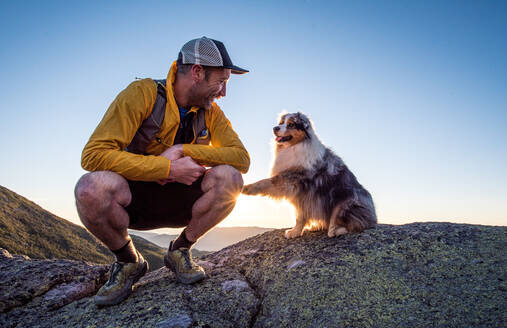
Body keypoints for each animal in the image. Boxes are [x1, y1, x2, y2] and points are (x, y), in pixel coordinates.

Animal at [242, 112, 378, 238]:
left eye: (291, 124)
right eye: (281, 123)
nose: (275, 128)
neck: (295, 146)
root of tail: (374, 217)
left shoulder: (295, 183)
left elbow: (267, 182)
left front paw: (247, 188)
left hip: (345, 204)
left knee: (355, 224)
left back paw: (335, 230)